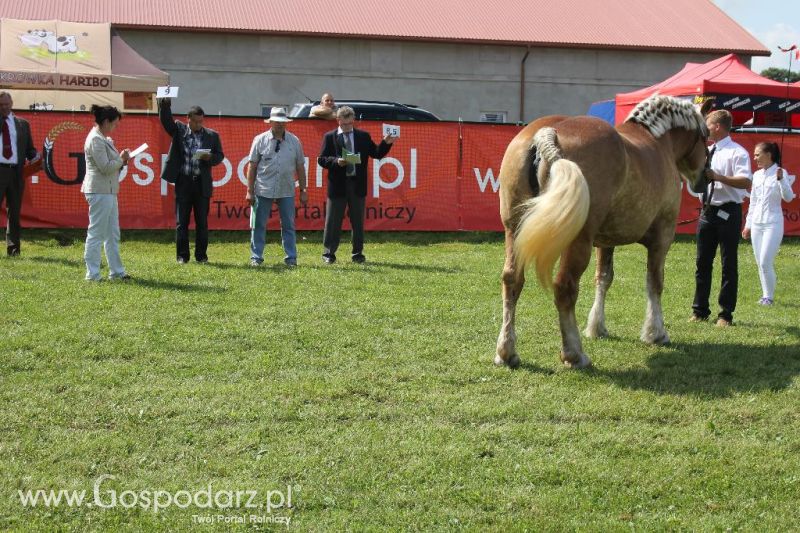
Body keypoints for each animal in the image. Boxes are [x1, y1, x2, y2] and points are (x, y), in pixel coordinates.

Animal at [494, 95, 712, 368]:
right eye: (706, 136)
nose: (707, 178)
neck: (658, 143)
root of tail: (547, 134)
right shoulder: (662, 236)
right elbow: (655, 282)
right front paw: (656, 332)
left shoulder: (606, 242)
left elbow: (603, 278)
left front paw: (597, 327)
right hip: (579, 241)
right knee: (564, 287)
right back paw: (574, 354)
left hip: (514, 231)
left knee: (512, 280)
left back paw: (507, 351)